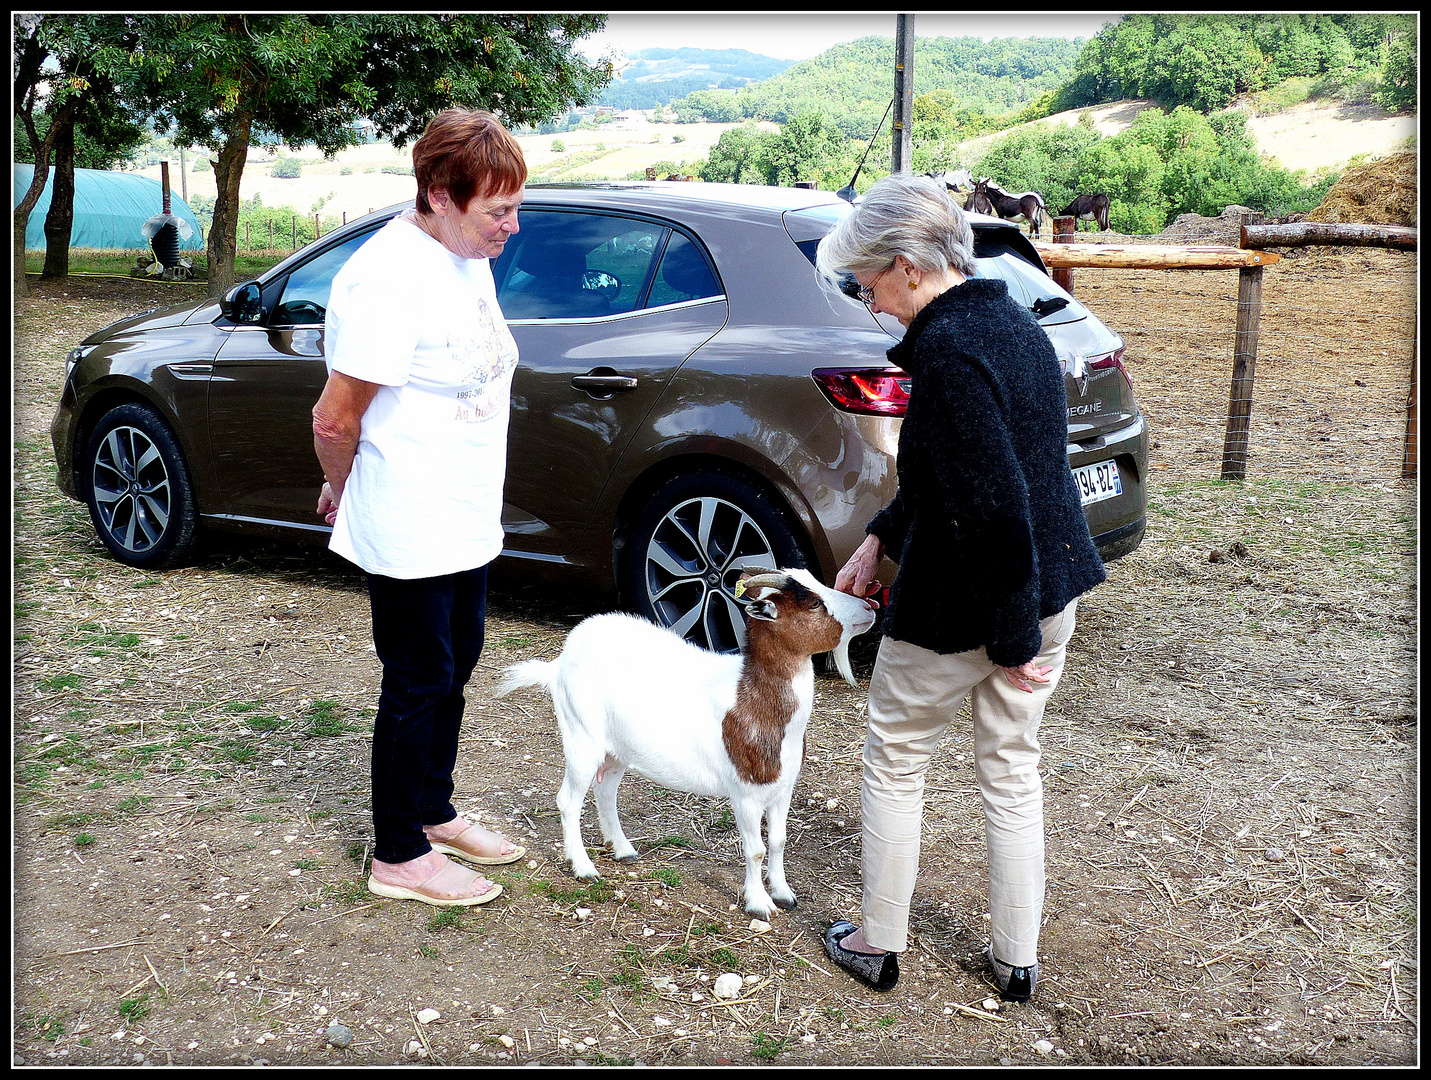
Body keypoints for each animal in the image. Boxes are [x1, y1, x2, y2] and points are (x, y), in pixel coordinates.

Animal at [492, 569, 875, 915]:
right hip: (581, 736)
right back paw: (584, 867)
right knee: (568, 801)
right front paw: (759, 903)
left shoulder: (783, 788)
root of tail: (557, 664)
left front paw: (783, 894)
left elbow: (779, 842)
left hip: (616, 750)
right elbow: (755, 849)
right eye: (813, 603)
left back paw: (622, 848)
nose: (870, 606)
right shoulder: (745, 794)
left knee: (605, 792)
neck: (752, 700)